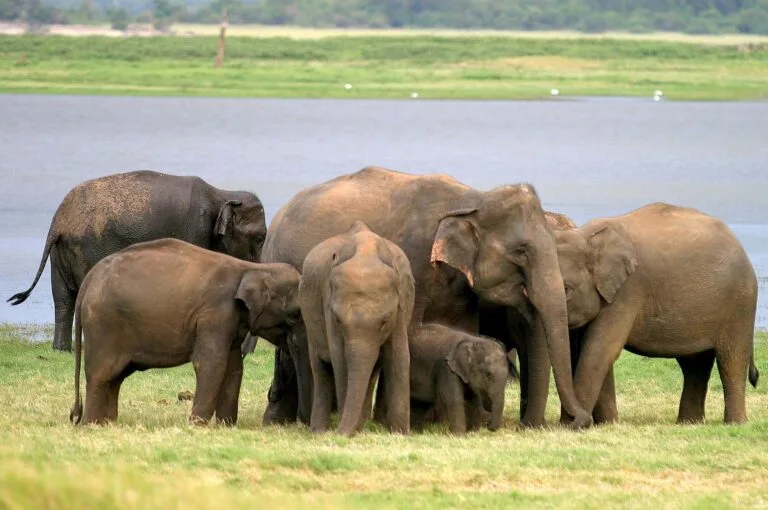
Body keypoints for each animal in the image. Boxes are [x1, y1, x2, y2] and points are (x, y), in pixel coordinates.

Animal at [8, 170, 267, 352]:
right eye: (260, 238)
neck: (223, 194)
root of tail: (59, 221)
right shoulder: (195, 230)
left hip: (60, 253)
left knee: (62, 299)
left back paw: (61, 350)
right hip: (87, 248)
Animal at [68, 238, 300, 426]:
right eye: (294, 315)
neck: (252, 268)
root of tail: (90, 278)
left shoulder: (231, 321)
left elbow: (234, 367)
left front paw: (226, 426)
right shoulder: (215, 315)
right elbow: (211, 363)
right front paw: (197, 426)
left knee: (116, 377)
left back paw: (107, 423)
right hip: (103, 324)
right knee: (102, 375)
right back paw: (91, 425)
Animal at [300, 221, 415, 436]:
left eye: (385, 321)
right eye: (338, 320)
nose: (338, 434)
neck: (366, 253)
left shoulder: (401, 306)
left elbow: (399, 356)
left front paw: (401, 435)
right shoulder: (328, 304)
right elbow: (339, 360)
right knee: (320, 368)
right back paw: (319, 431)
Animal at [554, 202, 759, 424]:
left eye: (566, 289)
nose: (576, 420)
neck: (585, 235)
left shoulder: (628, 290)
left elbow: (600, 348)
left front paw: (572, 426)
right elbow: (592, 347)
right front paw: (606, 424)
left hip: (740, 302)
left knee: (731, 359)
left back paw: (735, 423)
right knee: (695, 363)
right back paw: (688, 423)